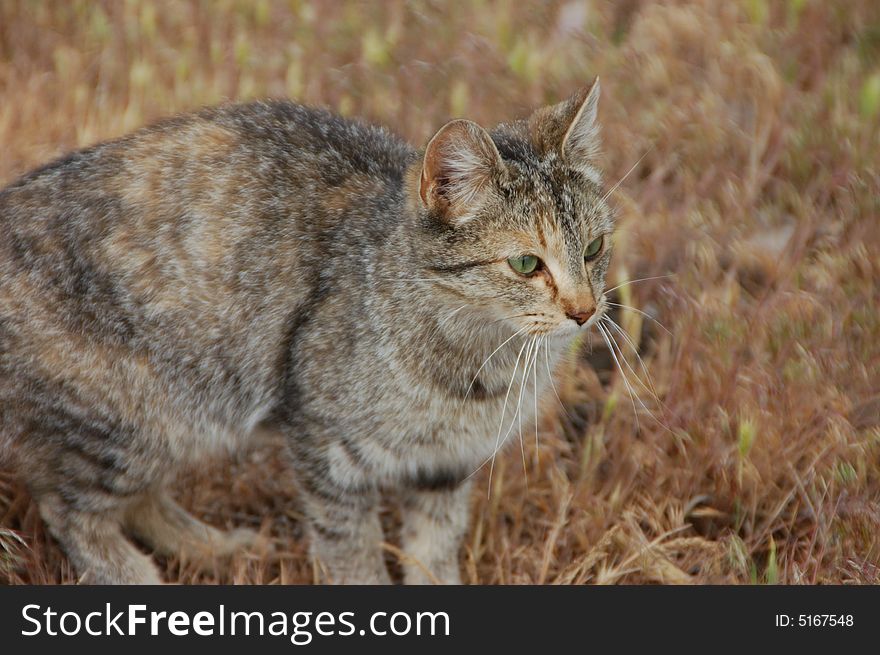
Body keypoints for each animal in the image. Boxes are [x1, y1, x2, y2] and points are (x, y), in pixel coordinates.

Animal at [1, 79, 612, 588]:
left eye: (594, 248)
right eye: (526, 264)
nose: (585, 310)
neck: (480, 366)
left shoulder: (444, 470)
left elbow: (432, 554)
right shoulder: (329, 454)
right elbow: (353, 557)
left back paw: (216, 549)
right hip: (137, 421)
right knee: (68, 505)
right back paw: (139, 578)